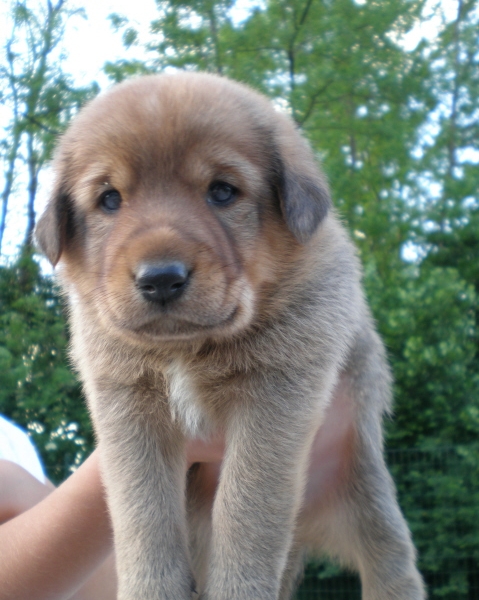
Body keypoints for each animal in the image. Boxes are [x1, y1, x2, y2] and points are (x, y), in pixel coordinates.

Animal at [36, 72, 428, 596]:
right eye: (110, 199)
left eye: (222, 192)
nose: (160, 278)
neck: (184, 350)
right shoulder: (125, 407)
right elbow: (143, 514)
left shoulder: (278, 396)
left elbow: (246, 510)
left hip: (373, 513)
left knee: (390, 566)